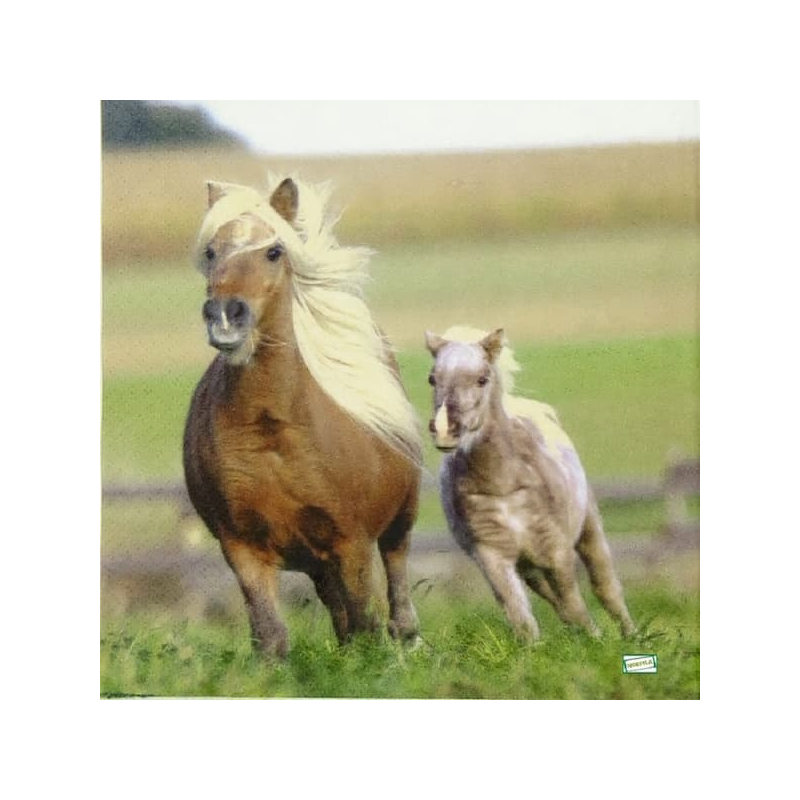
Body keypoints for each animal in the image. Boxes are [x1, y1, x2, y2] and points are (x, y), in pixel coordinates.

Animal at [183, 176, 422, 658]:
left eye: (274, 252)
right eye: (212, 252)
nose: (225, 315)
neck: (272, 429)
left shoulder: (352, 543)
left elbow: (366, 625)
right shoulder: (243, 546)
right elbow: (271, 637)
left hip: (397, 525)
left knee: (396, 595)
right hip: (316, 562)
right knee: (340, 616)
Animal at [425, 325, 636, 640]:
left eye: (482, 379)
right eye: (432, 379)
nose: (444, 430)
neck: (503, 485)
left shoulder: (557, 551)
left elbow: (576, 604)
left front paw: (594, 642)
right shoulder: (493, 557)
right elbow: (523, 620)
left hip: (588, 529)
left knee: (606, 588)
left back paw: (631, 635)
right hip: (528, 567)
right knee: (553, 599)